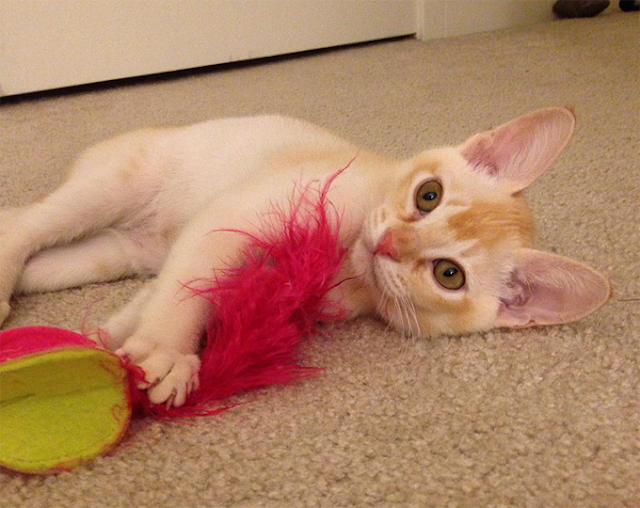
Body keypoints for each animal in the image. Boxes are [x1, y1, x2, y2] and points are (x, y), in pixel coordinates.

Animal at [0, 108, 608, 408]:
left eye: (448, 274)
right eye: (428, 195)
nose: (389, 245)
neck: (348, 266)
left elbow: (161, 292)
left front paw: (107, 344)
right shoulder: (239, 213)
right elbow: (191, 282)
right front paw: (168, 349)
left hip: (113, 250)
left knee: (49, 256)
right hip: (118, 181)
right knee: (22, 222)